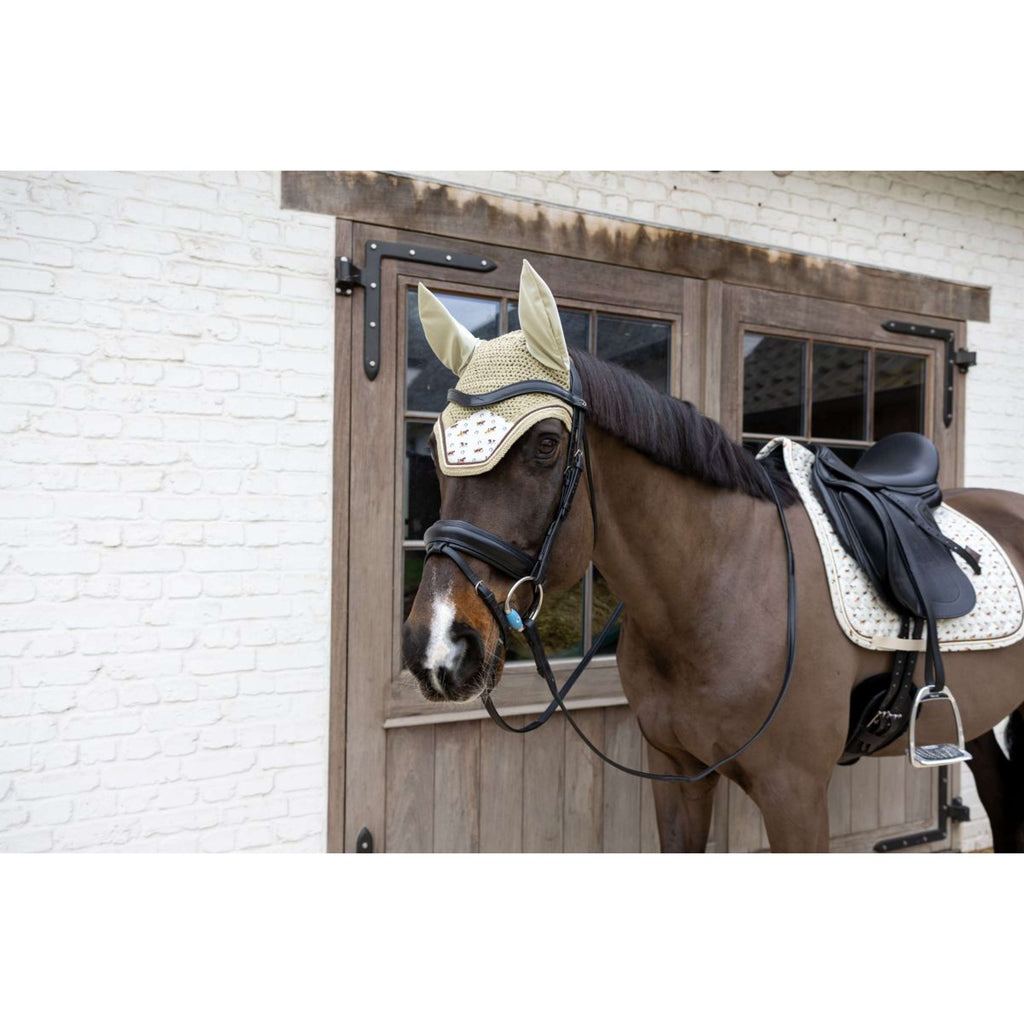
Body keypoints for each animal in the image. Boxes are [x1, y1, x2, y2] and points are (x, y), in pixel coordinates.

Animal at [401, 260, 1024, 853]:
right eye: (433, 446)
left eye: (547, 444)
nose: (436, 645)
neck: (713, 592)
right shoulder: (678, 774)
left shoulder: (795, 795)